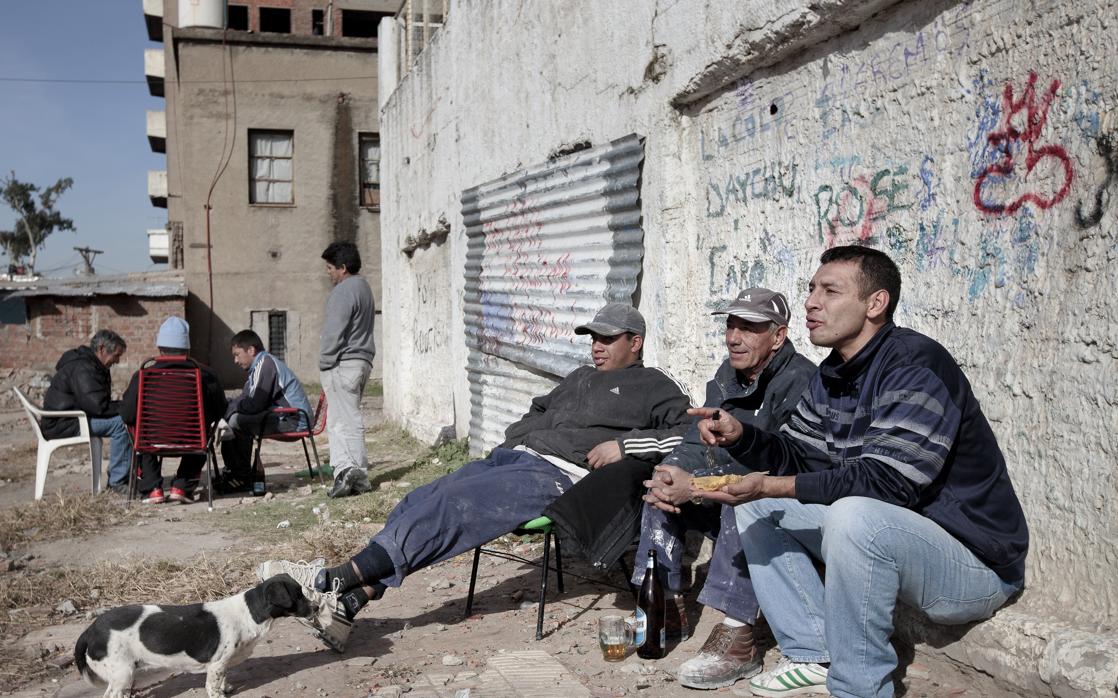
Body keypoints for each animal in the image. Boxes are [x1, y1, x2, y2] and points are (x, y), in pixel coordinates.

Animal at [74, 572, 313, 698]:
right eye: (298, 596)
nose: (318, 607)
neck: (249, 612)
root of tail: (90, 630)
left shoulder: (222, 664)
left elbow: (223, 678)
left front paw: (226, 688)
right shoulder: (216, 663)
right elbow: (213, 685)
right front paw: (219, 694)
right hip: (122, 673)